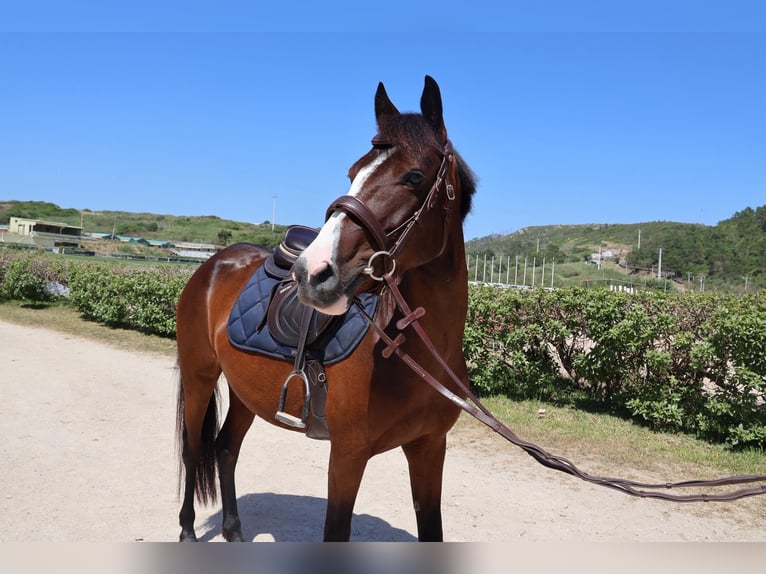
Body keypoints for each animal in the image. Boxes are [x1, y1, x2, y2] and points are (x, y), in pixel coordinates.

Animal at [175, 75, 478, 542]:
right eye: (353, 173)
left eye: (413, 176)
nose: (310, 272)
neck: (417, 354)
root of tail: (213, 265)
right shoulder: (348, 455)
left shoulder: (429, 448)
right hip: (199, 377)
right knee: (193, 450)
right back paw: (188, 530)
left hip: (245, 390)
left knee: (225, 449)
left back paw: (234, 530)